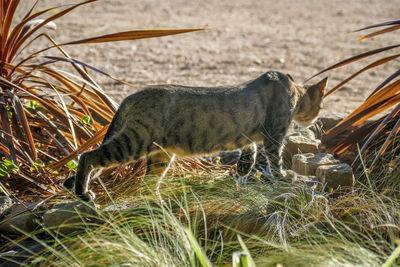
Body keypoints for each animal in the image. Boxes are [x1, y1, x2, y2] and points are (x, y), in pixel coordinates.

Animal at [64, 71, 326, 201]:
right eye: (321, 105)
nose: (317, 120)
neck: (293, 90)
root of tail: (130, 96)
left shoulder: (251, 135)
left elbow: (249, 150)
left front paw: (242, 169)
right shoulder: (274, 134)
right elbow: (275, 159)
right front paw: (285, 176)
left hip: (159, 154)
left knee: (148, 182)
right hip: (135, 141)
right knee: (88, 156)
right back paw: (83, 193)